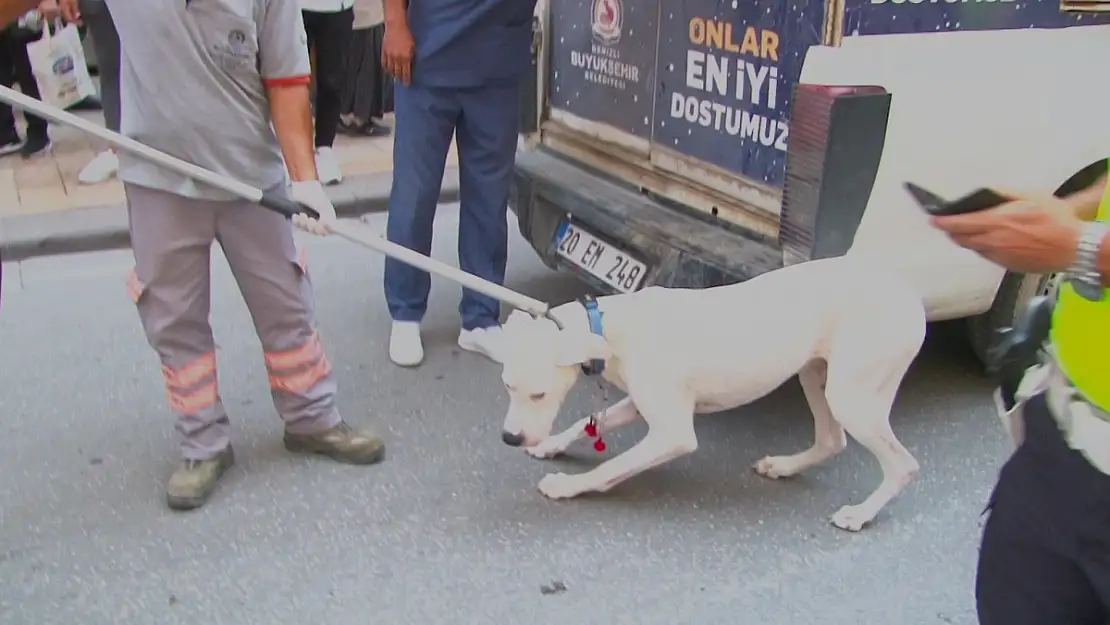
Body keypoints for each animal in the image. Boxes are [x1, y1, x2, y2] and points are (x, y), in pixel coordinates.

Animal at [499, 256, 923, 530]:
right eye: (507, 385)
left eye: (539, 394)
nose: (510, 438)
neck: (606, 327)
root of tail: (907, 291)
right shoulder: (639, 404)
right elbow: (582, 424)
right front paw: (551, 445)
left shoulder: (673, 434)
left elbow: (609, 469)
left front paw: (566, 485)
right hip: (815, 374)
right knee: (832, 439)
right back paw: (784, 466)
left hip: (851, 396)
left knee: (903, 465)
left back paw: (860, 513)